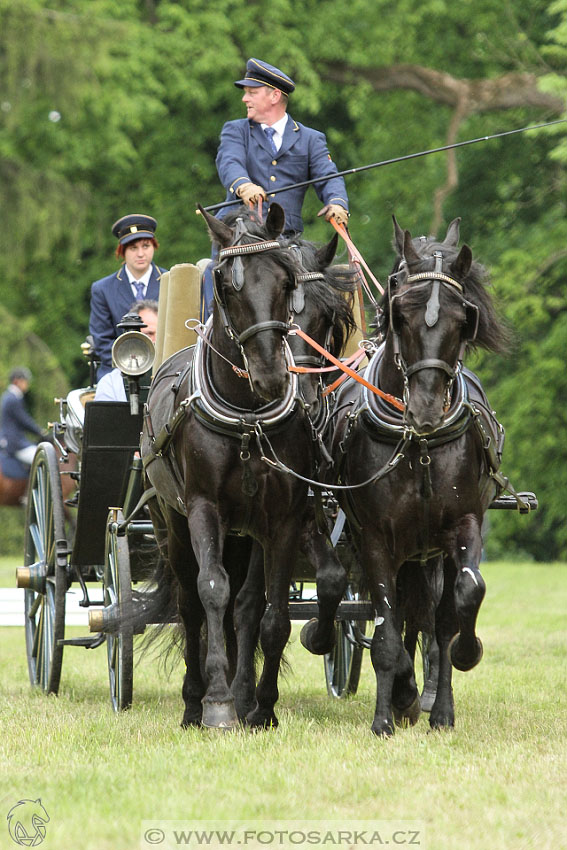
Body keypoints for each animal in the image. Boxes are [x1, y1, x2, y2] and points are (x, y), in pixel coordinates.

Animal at [140, 202, 358, 724]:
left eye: (284, 281)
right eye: (225, 283)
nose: (272, 376)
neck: (247, 417)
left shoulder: (284, 517)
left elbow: (270, 611)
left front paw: (261, 709)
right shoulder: (203, 508)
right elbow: (212, 590)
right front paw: (218, 704)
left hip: (246, 532)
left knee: (244, 605)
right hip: (169, 523)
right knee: (190, 605)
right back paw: (194, 702)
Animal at [308, 215, 512, 732]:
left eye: (464, 318)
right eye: (400, 313)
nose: (424, 409)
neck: (417, 444)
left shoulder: (464, 525)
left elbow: (461, 600)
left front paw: (458, 672)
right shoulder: (375, 536)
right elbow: (384, 628)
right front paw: (385, 715)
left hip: (427, 552)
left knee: (430, 615)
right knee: (397, 615)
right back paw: (402, 693)